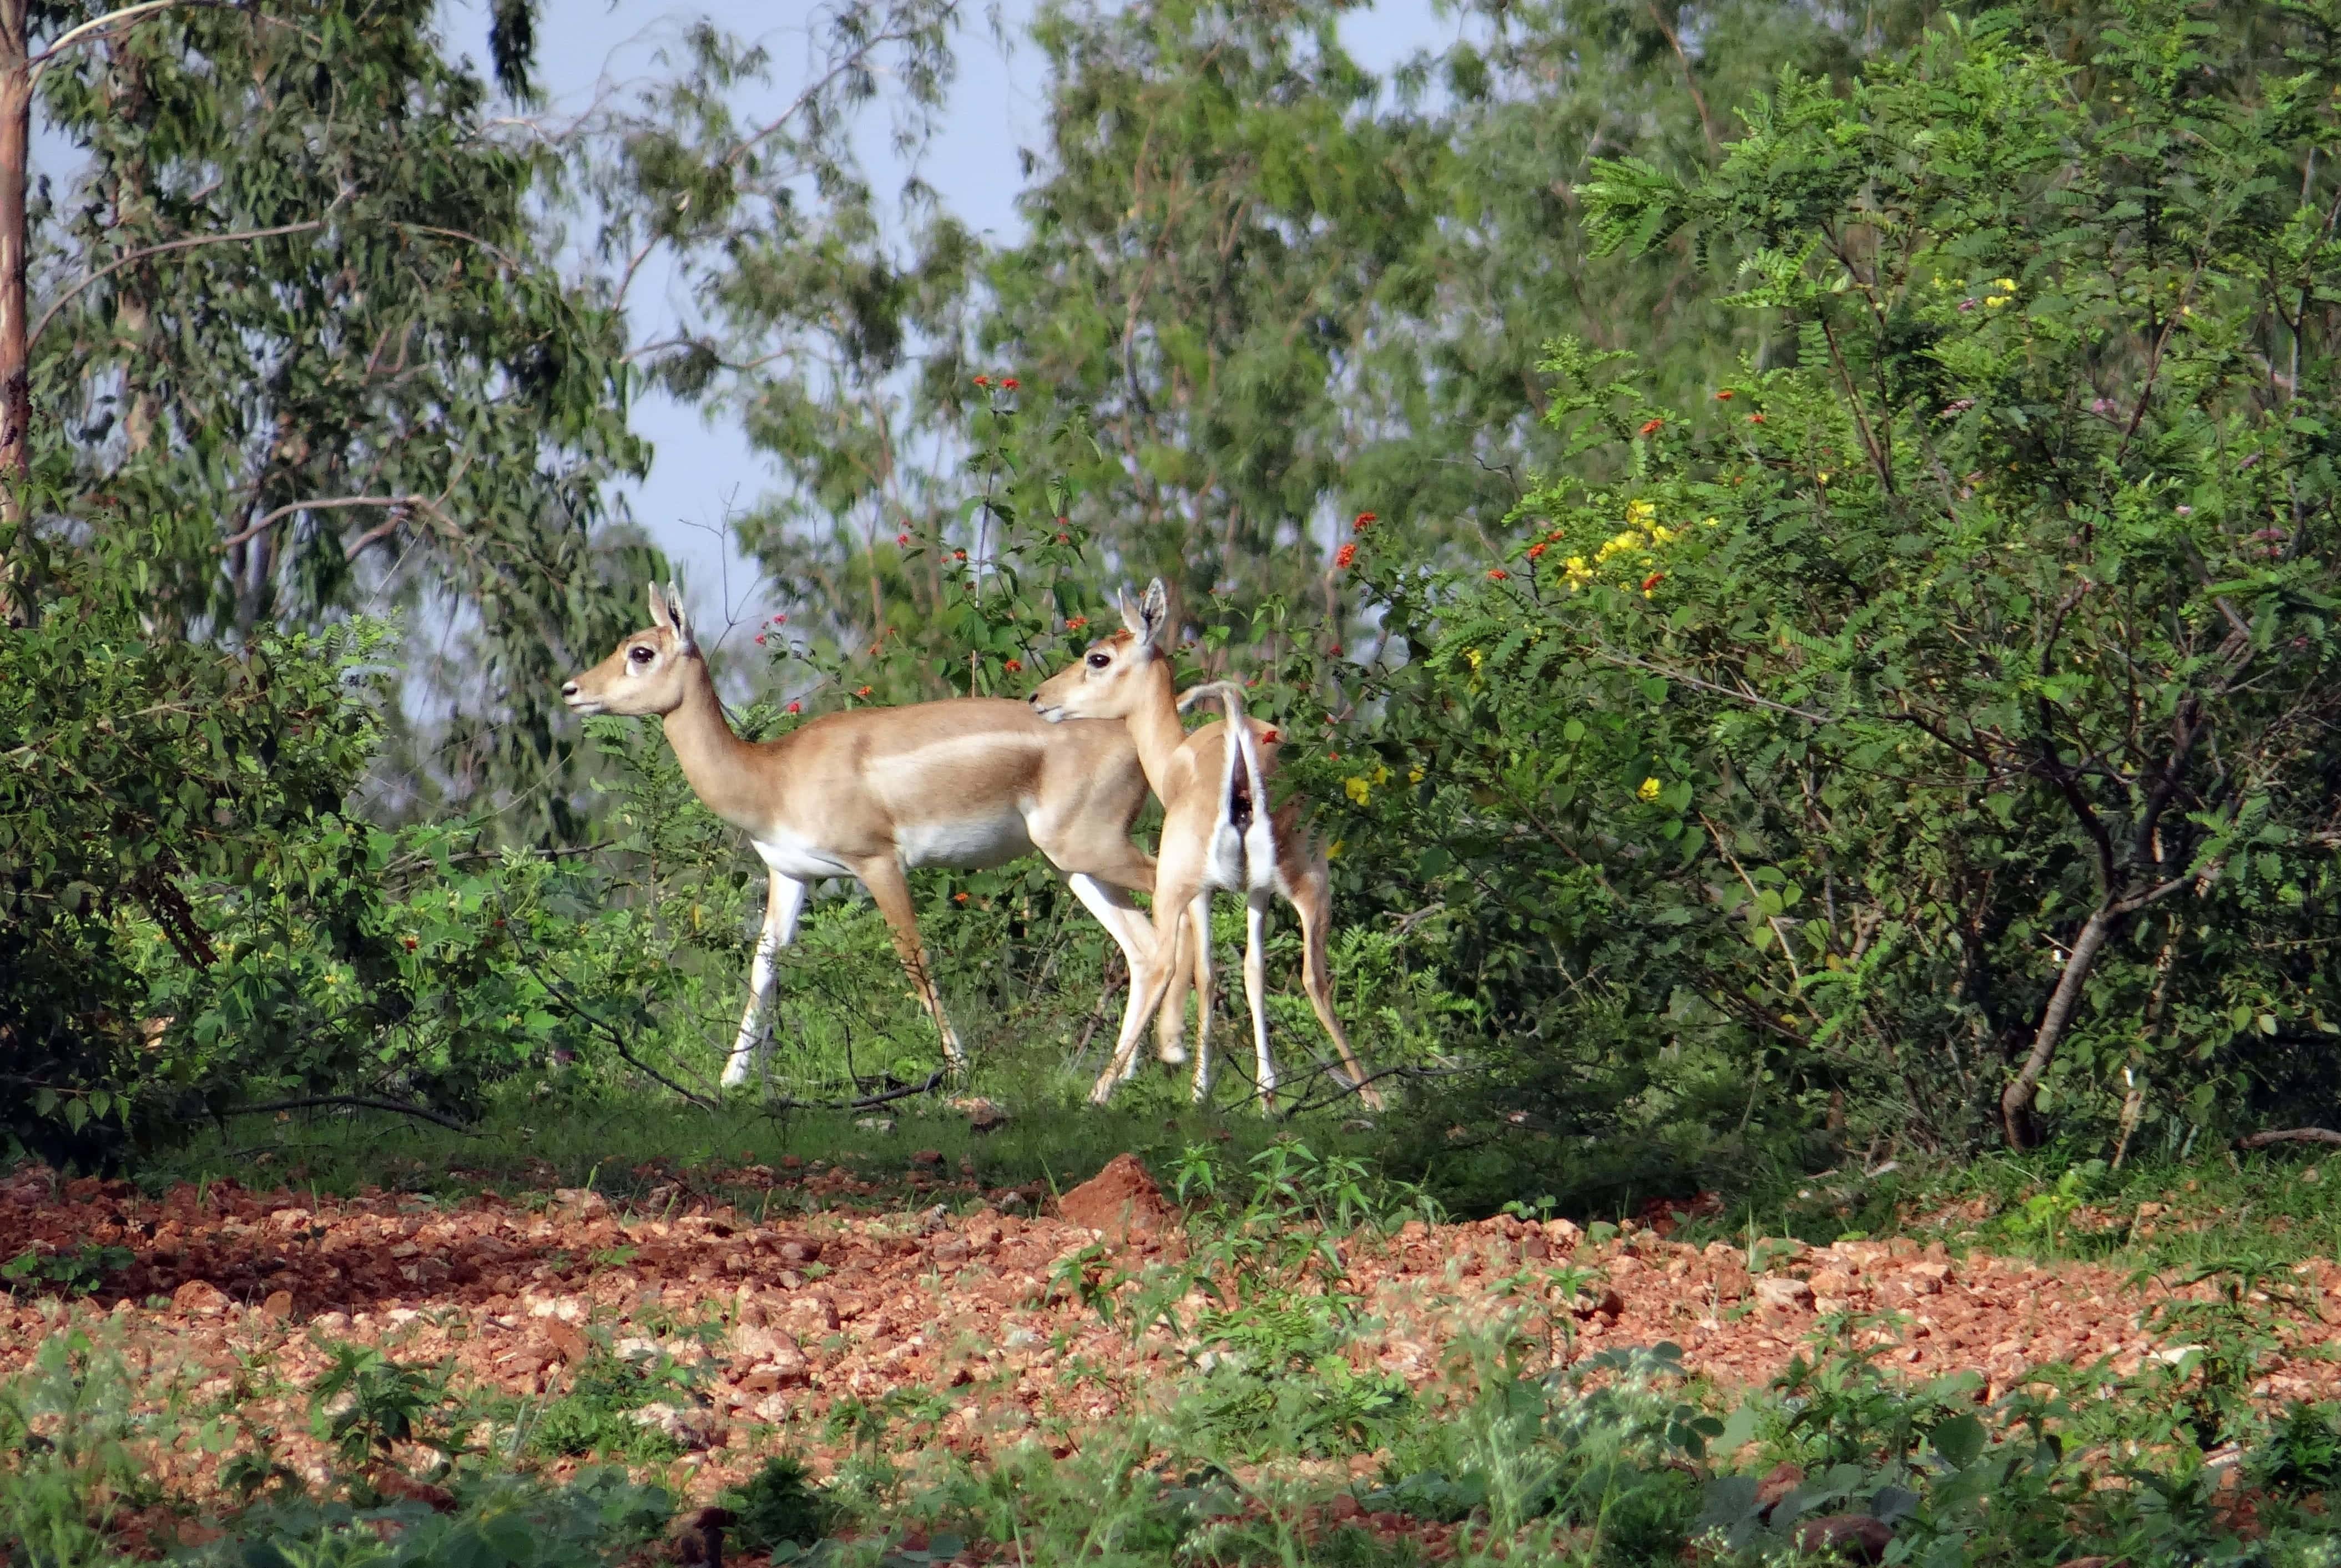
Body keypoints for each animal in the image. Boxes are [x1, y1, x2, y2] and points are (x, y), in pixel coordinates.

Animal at [562, 582, 1202, 1089]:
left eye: (641, 652)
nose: (571, 690)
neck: (772, 775)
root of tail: (1133, 739)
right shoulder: (790, 873)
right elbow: (764, 966)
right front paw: (730, 1079)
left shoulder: (878, 863)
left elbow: (914, 959)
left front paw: (958, 1069)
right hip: (1075, 866)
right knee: (1144, 947)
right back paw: (1121, 1079)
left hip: (1098, 850)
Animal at [1028, 579, 1382, 1111]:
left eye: (1098, 658)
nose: (1039, 697)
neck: (1179, 757)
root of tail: (1242, 762)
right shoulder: (1256, 892)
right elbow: (1253, 971)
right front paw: (1266, 1094)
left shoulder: (1200, 891)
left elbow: (1206, 971)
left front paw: (1200, 1087)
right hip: (1311, 885)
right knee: (1314, 978)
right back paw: (1373, 1098)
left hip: (1174, 887)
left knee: (1160, 964)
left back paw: (1108, 1088)